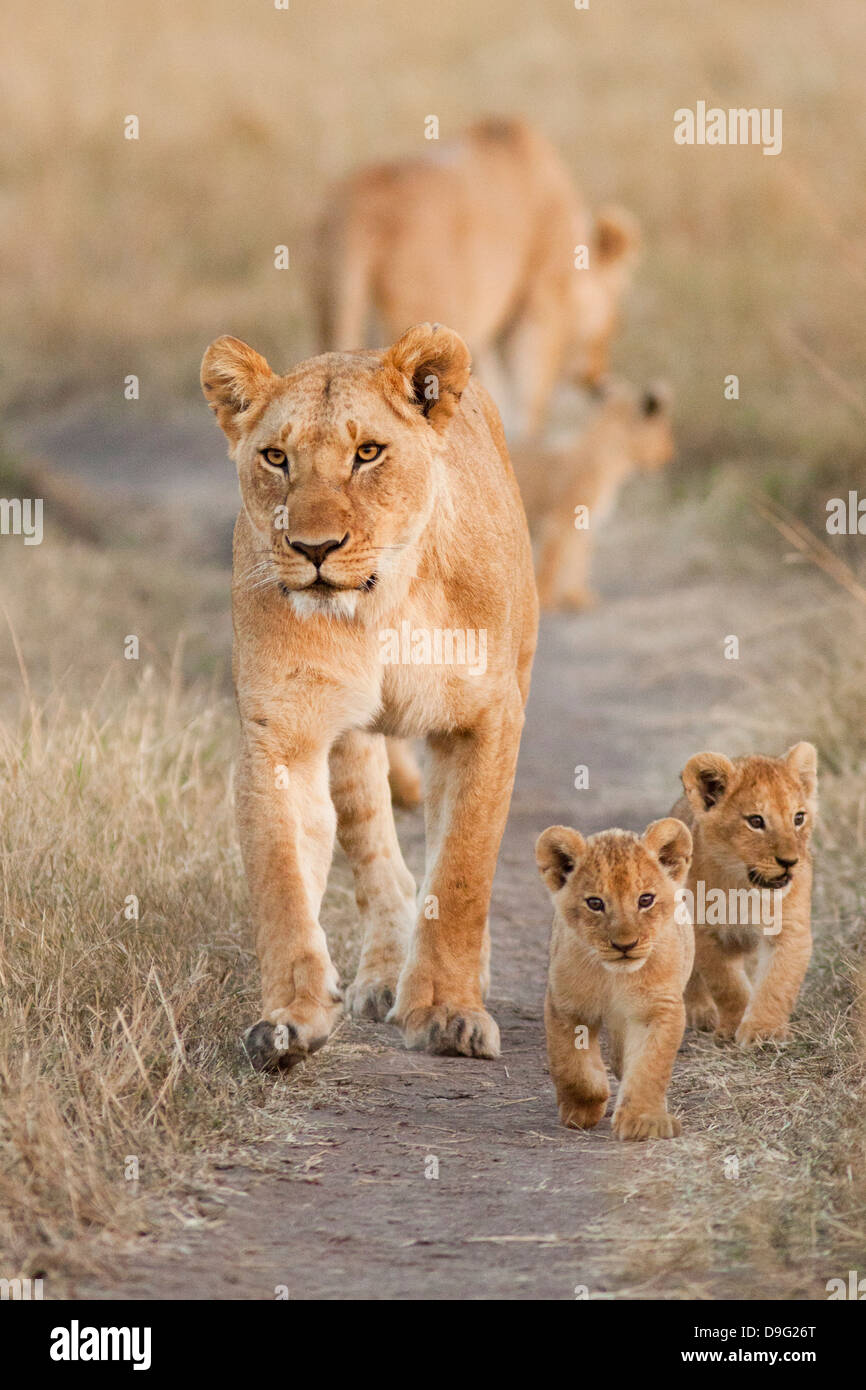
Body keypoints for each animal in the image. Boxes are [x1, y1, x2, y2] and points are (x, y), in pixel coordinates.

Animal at [200, 322, 537, 1069]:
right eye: (275, 457)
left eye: (368, 453)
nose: (313, 547)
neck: (381, 603)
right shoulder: (281, 731)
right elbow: (282, 878)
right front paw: (290, 1018)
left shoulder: (486, 717)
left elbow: (462, 869)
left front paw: (446, 1012)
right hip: (353, 740)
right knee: (374, 845)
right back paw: (383, 974)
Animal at [511, 379, 674, 612]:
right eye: (667, 431)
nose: (672, 455)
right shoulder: (558, 522)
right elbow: (552, 562)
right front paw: (546, 600)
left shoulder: (585, 525)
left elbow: (579, 561)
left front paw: (578, 597)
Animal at [536, 818, 693, 1140]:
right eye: (595, 903)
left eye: (645, 899)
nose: (625, 945)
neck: (615, 979)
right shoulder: (565, 1005)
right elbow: (573, 1065)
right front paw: (581, 1110)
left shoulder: (660, 1008)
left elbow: (650, 1066)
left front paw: (645, 1121)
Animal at [672, 743, 818, 1046]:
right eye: (755, 821)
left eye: (798, 818)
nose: (790, 862)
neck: (746, 889)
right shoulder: (706, 933)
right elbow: (727, 985)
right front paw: (733, 1025)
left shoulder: (789, 930)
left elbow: (777, 983)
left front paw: (764, 1031)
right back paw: (702, 1013)